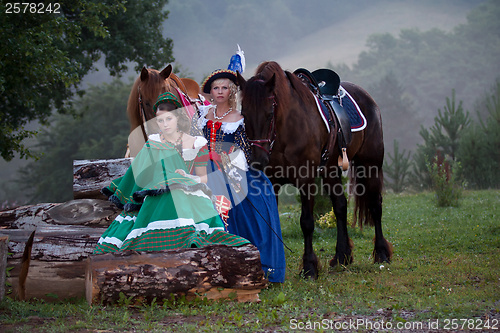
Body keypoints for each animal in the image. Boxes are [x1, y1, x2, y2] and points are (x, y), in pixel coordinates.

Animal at [236, 61, 392, 278]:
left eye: (269, 114)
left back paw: (381, 253)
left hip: (371, 165)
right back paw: (342, 256)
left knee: (375, 205)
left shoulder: (306, 180)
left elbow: (307, 222)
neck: (286, 131)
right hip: (331, 171)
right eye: (244, 115)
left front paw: (309, 266)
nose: (258, 160)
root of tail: (367, 97)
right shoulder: (273, 182)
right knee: (340, 205)